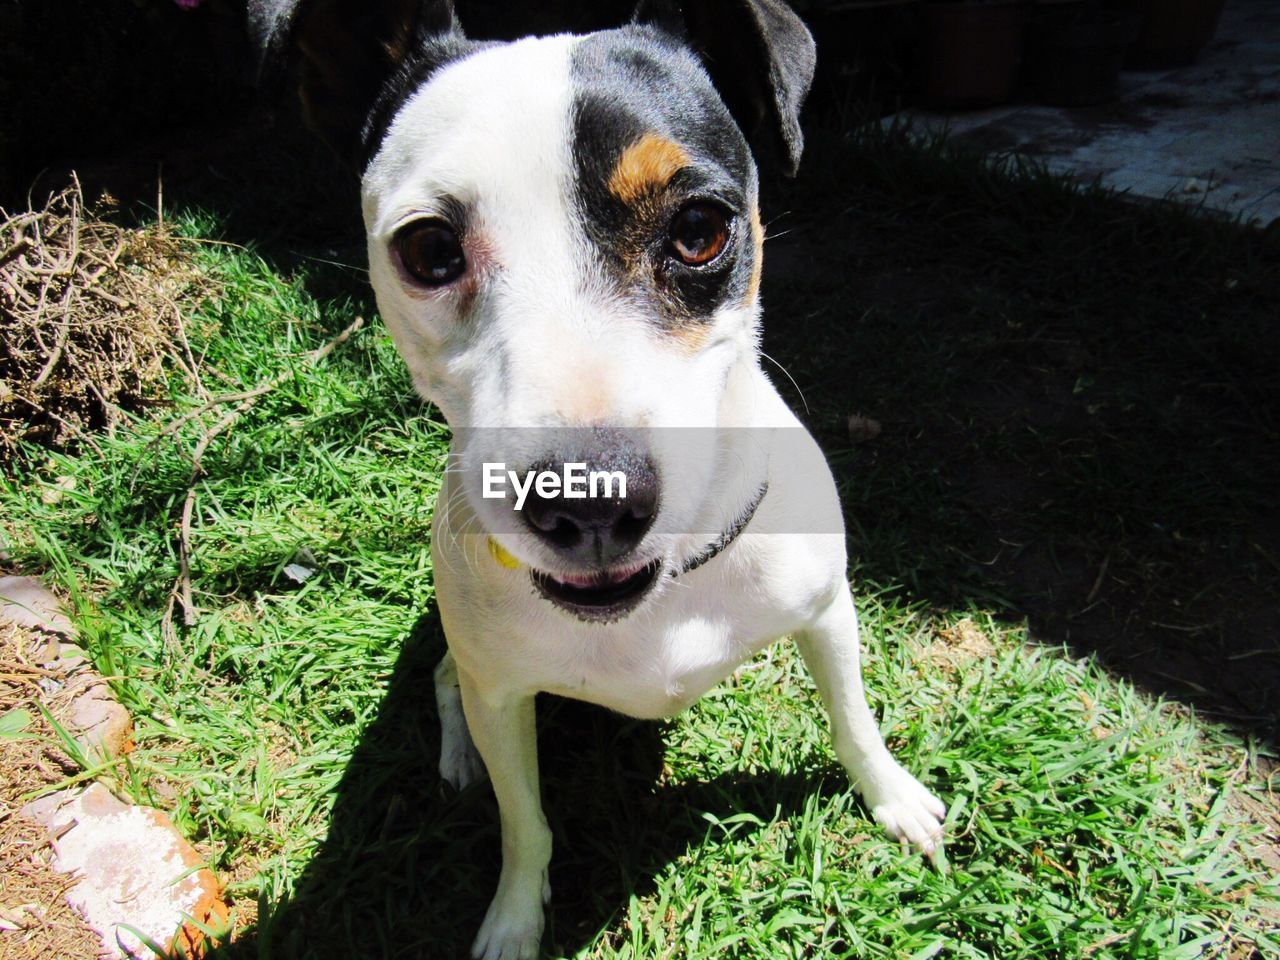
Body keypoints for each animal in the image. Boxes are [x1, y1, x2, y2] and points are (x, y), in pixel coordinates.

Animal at [252, 3, 952, 957]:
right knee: (446, 683)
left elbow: (854, 720)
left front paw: (891, 797)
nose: (587, 501)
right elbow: (525, 823)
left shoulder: (828, 611)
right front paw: (514, 917)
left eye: (699, 228)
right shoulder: (505, 692)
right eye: (428, 249)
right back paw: (459, 755)